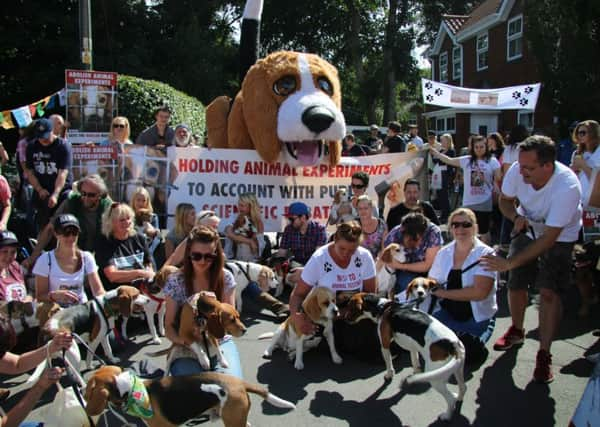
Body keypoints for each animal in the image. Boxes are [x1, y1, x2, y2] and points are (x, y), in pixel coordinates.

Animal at [84, 364, 296, 427]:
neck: (130, 389)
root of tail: (238, 383)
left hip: (233, 419)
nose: (83, 400)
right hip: (234, 417)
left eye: (88, 390)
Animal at [344, 292, 466, 422]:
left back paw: (446, 416)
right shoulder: (413, 347)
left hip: (436, 378)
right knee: (463, 387)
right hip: (457, 369)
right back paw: (459, 398)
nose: (344, 318)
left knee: (450, 399)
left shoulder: (385, 344)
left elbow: (389, 364)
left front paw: (389, 375)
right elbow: (415, 364)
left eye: (350, 307)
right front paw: (415, 376)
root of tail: (453, 344)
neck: (382, 307)